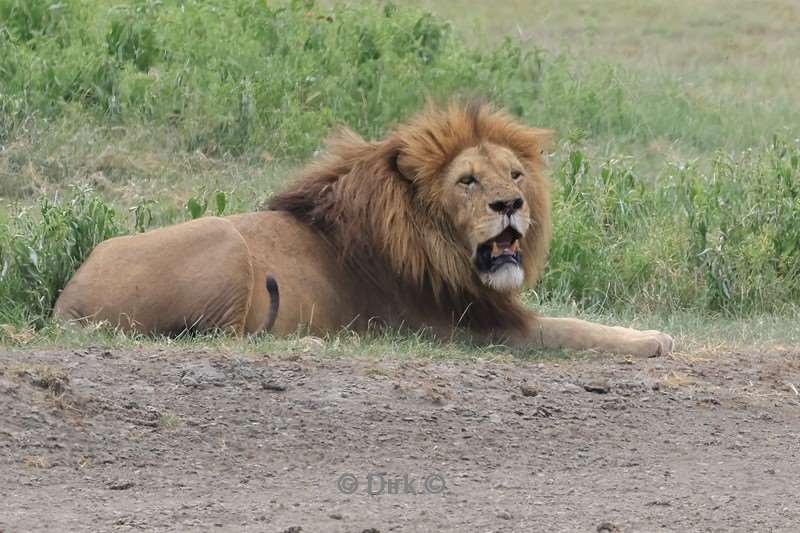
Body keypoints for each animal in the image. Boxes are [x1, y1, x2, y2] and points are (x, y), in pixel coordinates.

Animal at [53, 102, 672, 356]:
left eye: (515, 173)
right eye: (468, 181)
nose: (511, 204)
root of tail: (66, 303)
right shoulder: (468, 328)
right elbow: (572, 329)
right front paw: (652, 339)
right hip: (223, 239)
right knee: (216, 336)